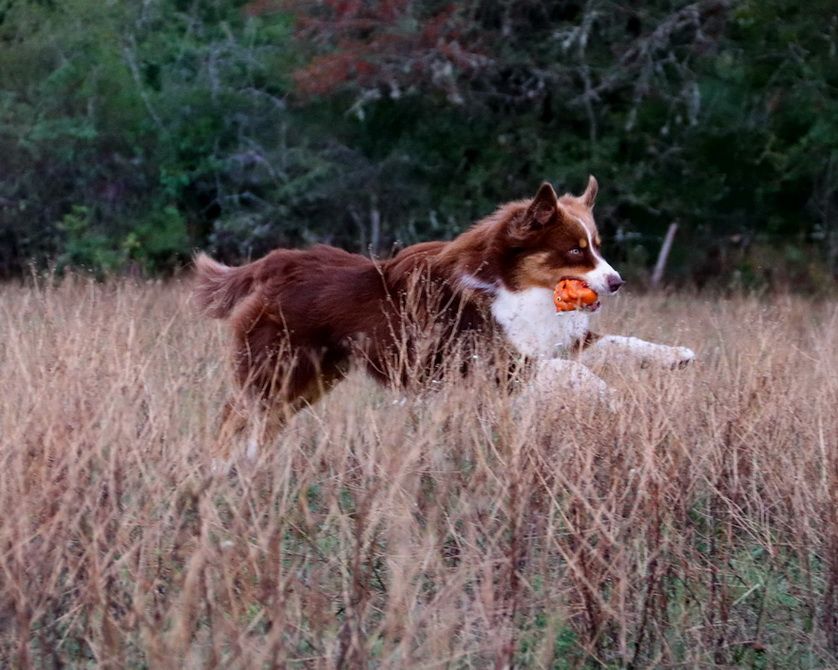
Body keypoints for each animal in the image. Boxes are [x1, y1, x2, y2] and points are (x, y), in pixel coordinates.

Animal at [197, 178, 696, 462]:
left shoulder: (550, 338)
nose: (617, 281)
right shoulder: (492, 364)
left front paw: (676, 355)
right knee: (233, 415)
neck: (512, 286)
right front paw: (608, 397)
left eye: (596, 245)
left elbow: (616, 343)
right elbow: (571, 370)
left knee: (261, 421)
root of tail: (278, 261)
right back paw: (220, 468)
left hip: (312, 377)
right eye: (575, 250)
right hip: (279, 368)